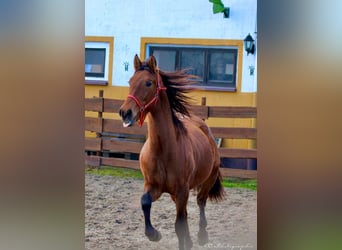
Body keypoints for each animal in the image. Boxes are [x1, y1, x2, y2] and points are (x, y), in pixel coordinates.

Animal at [118, 55, 224, 250]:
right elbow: (145, 202)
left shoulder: (182, 190)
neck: (163, 150)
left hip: (208, 179)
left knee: (201, 202)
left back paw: (201, 236)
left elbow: (179, 225)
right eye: (130, 81)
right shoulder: (153, 187)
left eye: (148, 83)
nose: (125, 112)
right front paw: (154, 234)